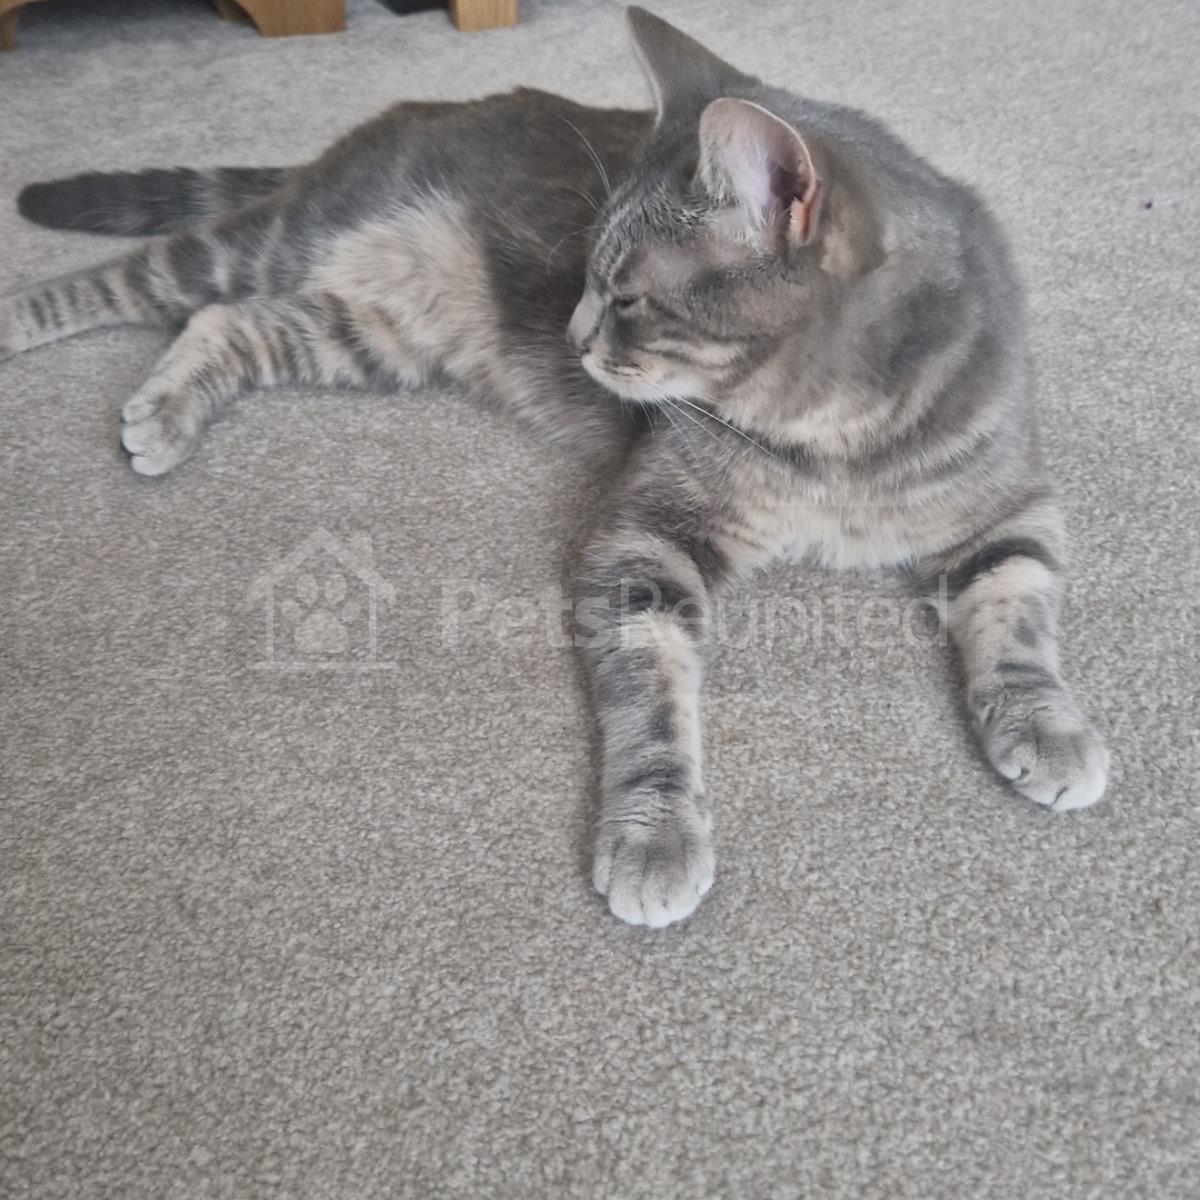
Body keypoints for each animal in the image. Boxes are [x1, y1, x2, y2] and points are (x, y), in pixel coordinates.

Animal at [2, 8, 1109, 928]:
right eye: (586, 272)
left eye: (626, 297)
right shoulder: (646, 541)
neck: (830, 443)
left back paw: (169, 408)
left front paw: (1048, 725)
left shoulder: (1013, 507)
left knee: (225, 324)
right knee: (136, 280)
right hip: (273, 245)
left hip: (370, 334)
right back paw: (30, 327)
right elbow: (653, 702)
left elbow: (1018, 618)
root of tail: (401, 115)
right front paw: (657, 837)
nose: (573, 338)